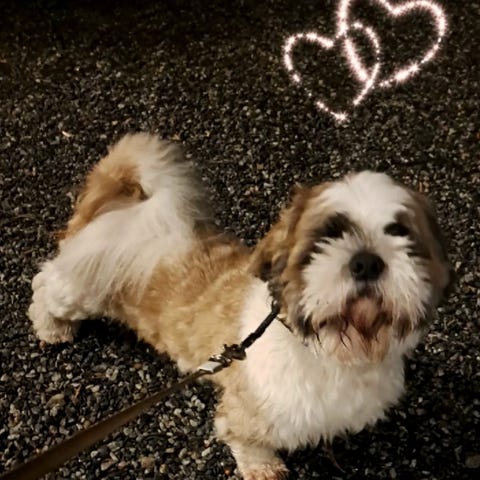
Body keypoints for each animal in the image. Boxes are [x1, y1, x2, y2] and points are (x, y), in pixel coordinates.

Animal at [29, 133, 452, 480]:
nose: (366, 261)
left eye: (401, 234)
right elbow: (245, 439)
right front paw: (263, 466)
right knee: (44, 286)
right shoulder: (249, 410)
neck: (332, 351)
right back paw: (52, 327)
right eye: (325, 237)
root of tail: (127, 206)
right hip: (83, 286)